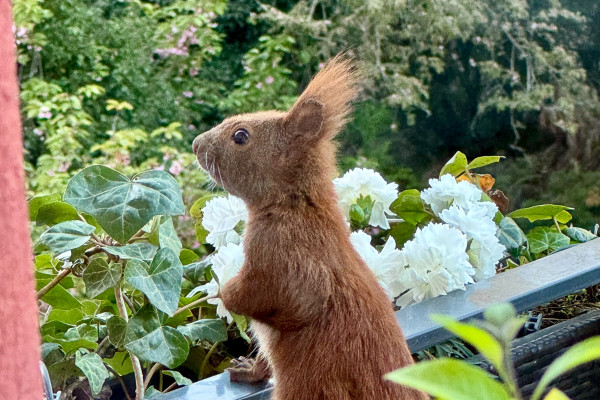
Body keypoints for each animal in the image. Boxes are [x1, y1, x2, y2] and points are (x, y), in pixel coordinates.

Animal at [193, 56, 426, 400]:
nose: (196, 144)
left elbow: (275, 297)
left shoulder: (284, 253)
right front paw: (250, 369)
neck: (298, 205)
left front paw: (224, 293)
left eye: (241, 136)